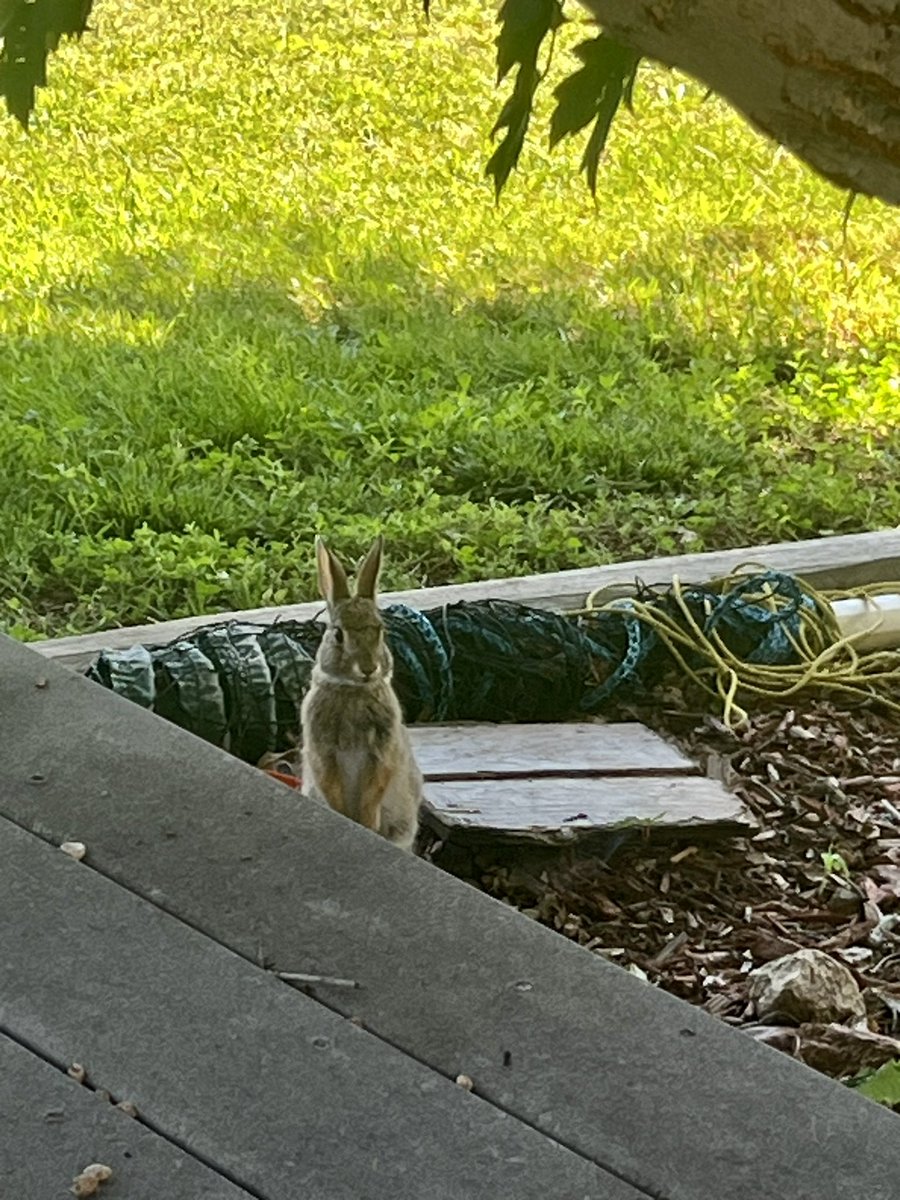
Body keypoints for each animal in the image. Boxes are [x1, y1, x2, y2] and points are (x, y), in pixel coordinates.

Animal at [297, 535, 422, 854]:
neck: (353, 689)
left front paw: (366, 824)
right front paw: (346, 818)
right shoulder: (322, 749)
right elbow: (330, 782)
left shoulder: (383, 750)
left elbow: (375, 787)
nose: (368, 669)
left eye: (380, 630)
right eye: (338, 634)